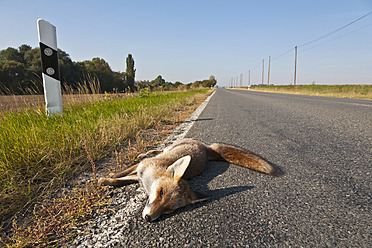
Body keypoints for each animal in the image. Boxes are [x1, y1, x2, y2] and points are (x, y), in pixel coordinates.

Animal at [97, 139, 280, 222]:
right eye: (161, 193)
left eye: (168, 210)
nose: (149, 218)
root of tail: (205, 148)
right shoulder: (139, 169)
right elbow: (122, 175)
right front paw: (108, 178)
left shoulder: (138, 176)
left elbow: (123, 180)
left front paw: (107, 180)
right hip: (172, 146)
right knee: (162, 149)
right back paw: (147, 152)